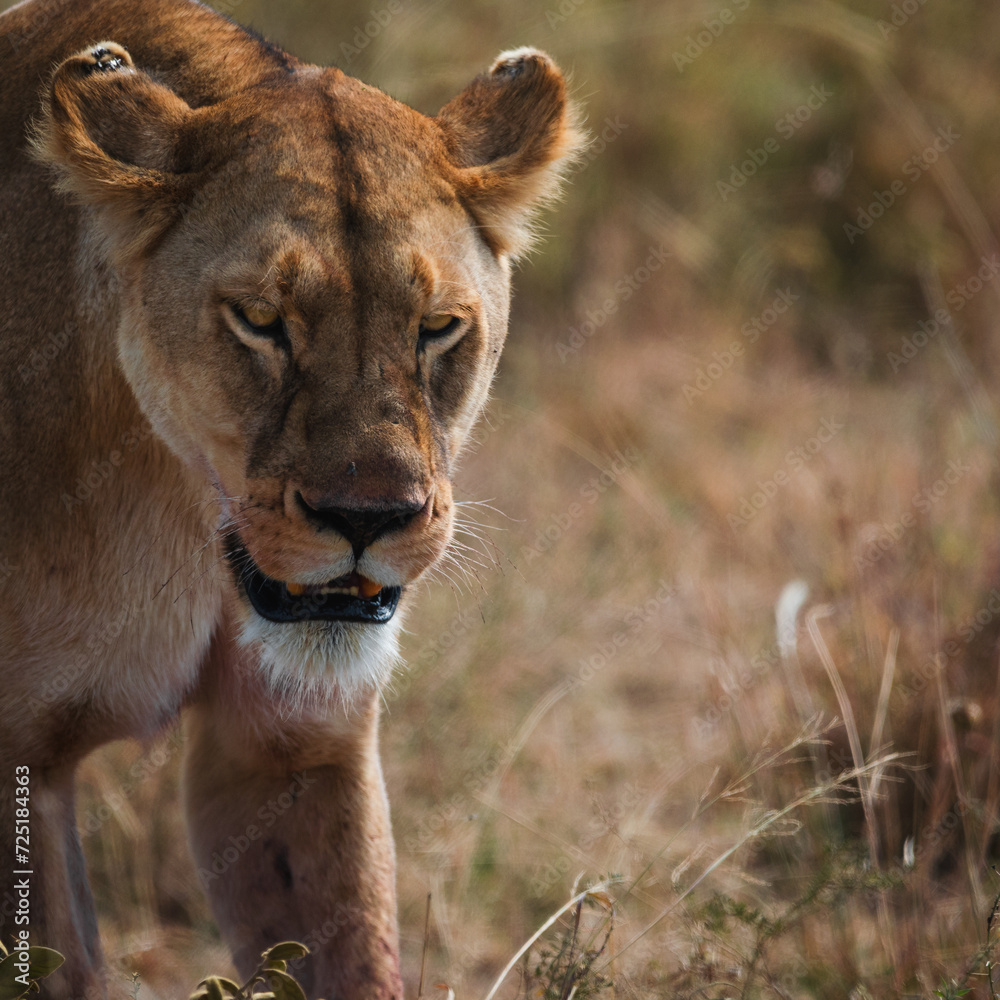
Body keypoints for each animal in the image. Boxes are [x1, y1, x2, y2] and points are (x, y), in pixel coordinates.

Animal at [0, 1, 581, 996]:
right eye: (261, 322)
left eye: (438, 327)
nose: (366, 519)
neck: (177, 509)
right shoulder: (20, 762)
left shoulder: (293, 749)